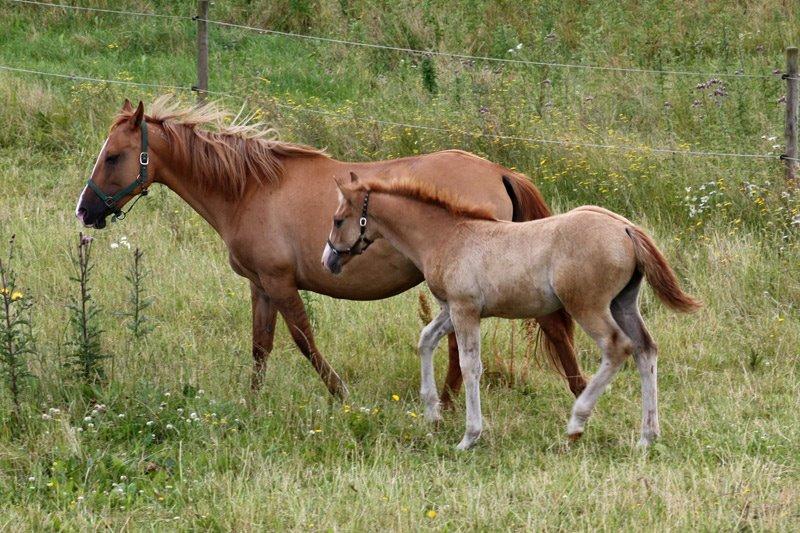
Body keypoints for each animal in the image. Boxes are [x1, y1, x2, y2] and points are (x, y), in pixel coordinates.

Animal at [324, 176, 700, 448]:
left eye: (339, 220)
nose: (328, 261)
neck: (447, 235)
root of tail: (625, 226)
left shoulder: (464, 309)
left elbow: (470, 366)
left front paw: (469, 437)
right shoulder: (451, 308)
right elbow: (425, 340)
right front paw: (432, 415)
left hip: (587, 305)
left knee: (617, 347)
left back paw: (576, 424)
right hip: (623, 303)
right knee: (646, 350)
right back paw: (647, 436)